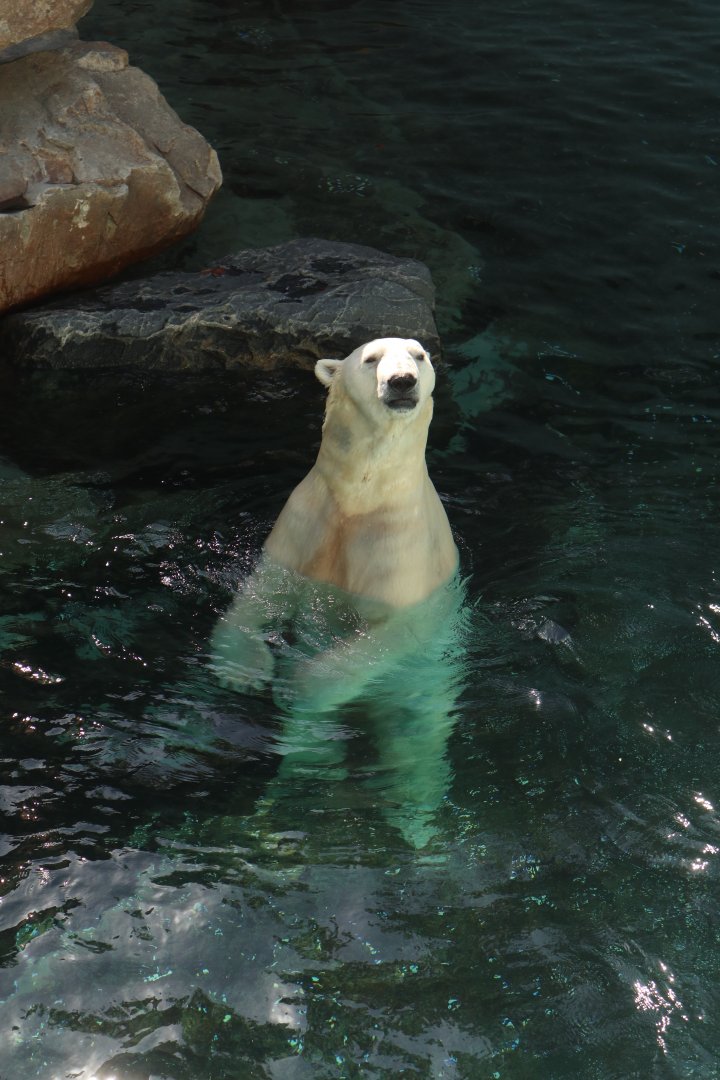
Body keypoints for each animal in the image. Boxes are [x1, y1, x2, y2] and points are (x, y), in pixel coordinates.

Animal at [210, 337, 467, 847]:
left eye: (420, 355)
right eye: (371, 359)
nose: (402, 382)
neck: (361, 501)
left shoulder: (402, 555)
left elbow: (391, 634)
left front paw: (295, 685)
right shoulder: (304, 522)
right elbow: (260, 592)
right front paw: (242, 671)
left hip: (422, 688)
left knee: (413, 742)